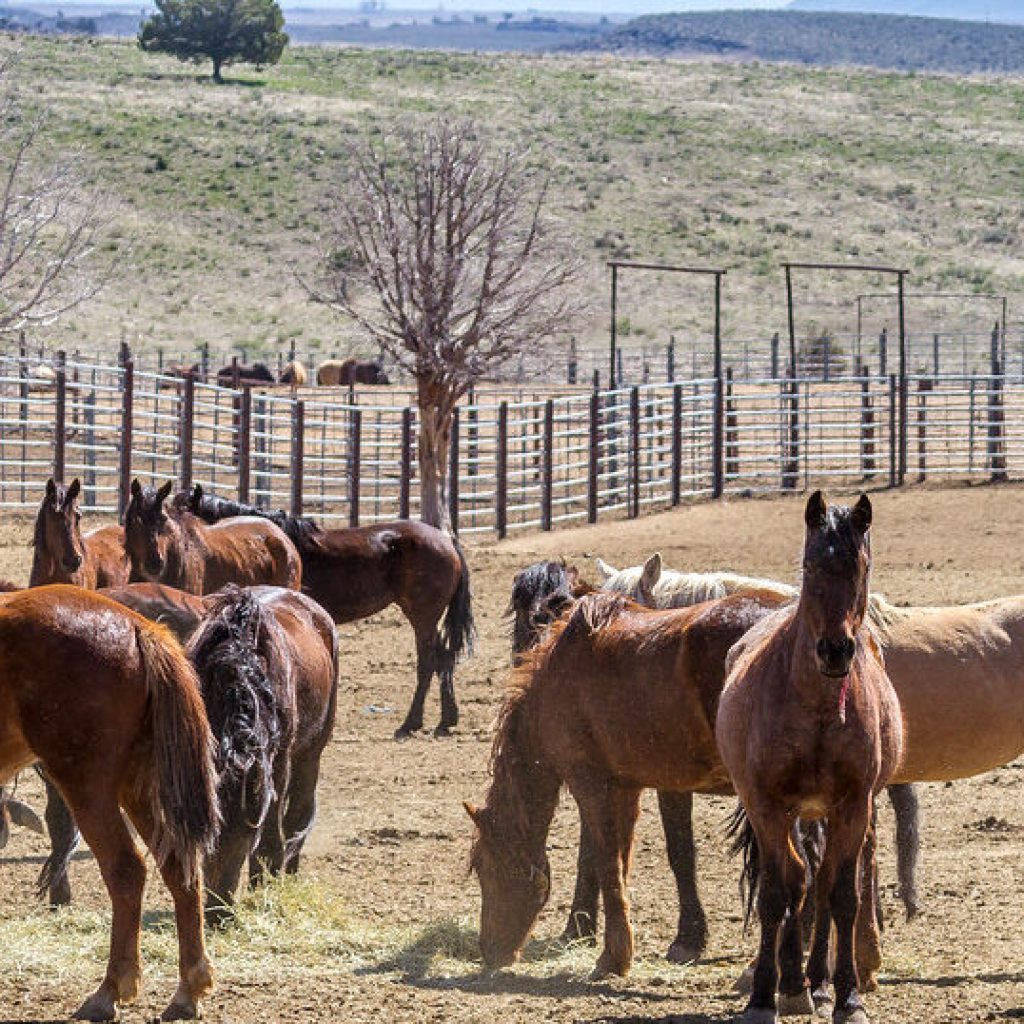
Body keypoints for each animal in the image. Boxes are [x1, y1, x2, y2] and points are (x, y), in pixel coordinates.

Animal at [0, 585, 219, 1021]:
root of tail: (138, 628)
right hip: (136, 786)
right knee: (178, 867)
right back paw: (187, 989)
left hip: (88, 786)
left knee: (126, 869)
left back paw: (110, 990)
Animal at [183, 485, 474, 738]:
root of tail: (446, 541)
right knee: (444, 657)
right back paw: (446, 720)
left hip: (423, 616)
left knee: (429, 661)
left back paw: (411, 723)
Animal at [188, 586, 338, 923]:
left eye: (247, 837)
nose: (218, 915)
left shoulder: (276, 762)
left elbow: (271, 833)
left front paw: (264, 884)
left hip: (311, 750)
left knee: (298, 813)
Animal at [466, 587, 835, 981]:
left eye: (486, 868)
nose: (489, 951)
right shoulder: (626, 790)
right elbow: (624, 863)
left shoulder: (591, 785)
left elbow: (606, 864)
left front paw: (611, 958)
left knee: (796, 870)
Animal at [716, 493, 903, 1024]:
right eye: (809, 564)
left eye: (861, 565)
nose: (835, 650)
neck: (816, 707)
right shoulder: (768, 805)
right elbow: (778, 891)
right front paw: (764, 997)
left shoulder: (853, 805)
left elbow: (841, 895)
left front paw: (847, 998)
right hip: (792, 812)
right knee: (800, 879)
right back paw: (796, 984)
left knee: (820, 884)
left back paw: (817, 983)